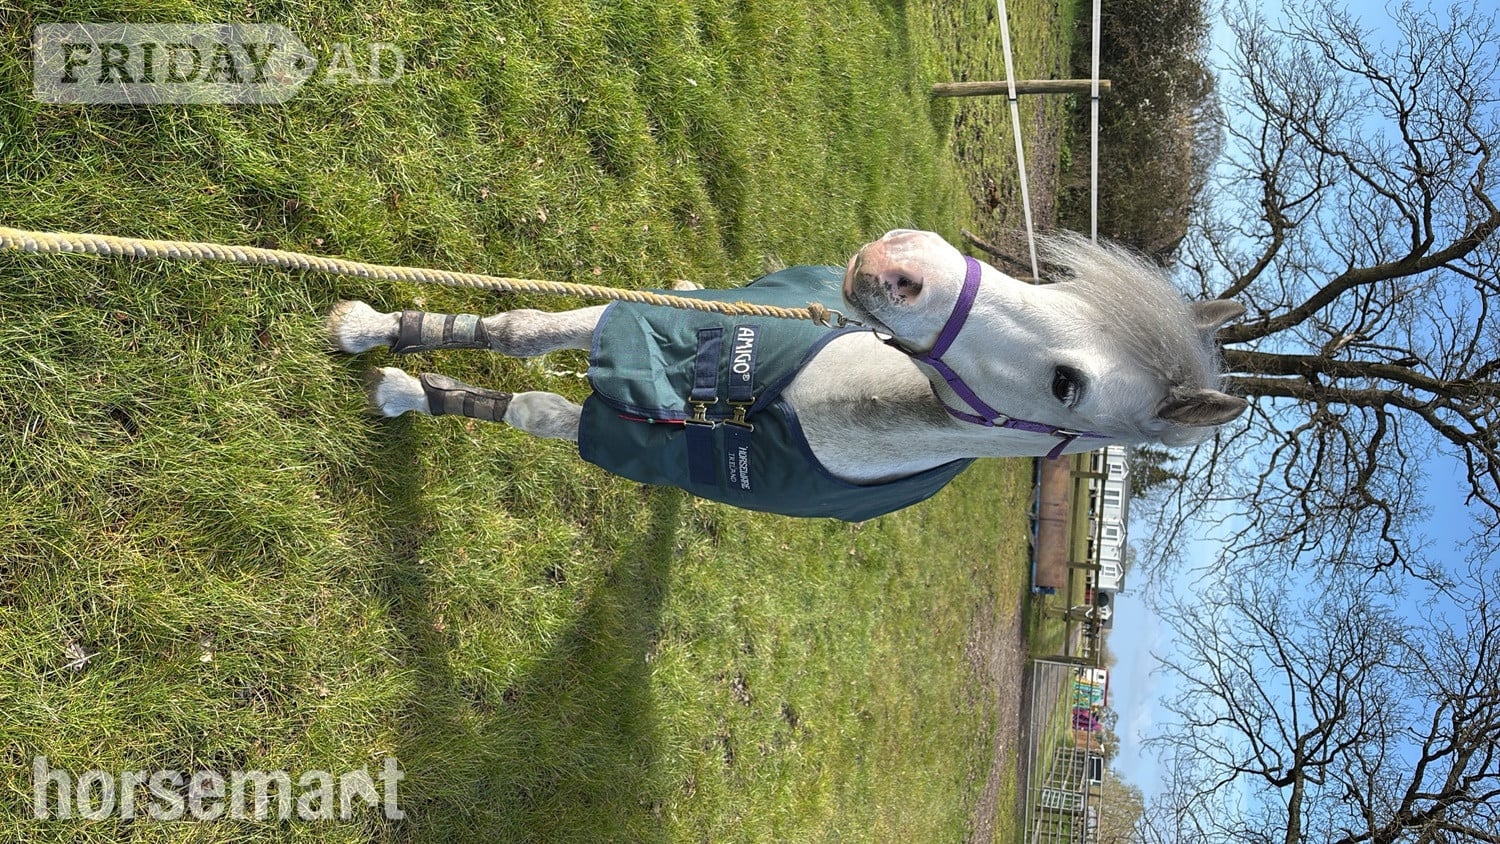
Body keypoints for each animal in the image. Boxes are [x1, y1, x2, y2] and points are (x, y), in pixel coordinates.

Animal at [326, 229, 1246, 520]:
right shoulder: (644, 329)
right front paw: (376, 332)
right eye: (1062, 285)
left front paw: (410, 391)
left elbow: (528, 407)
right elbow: (521, 330)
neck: (819, 404)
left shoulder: (646, 441)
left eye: (1068, 387)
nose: (902, 265)